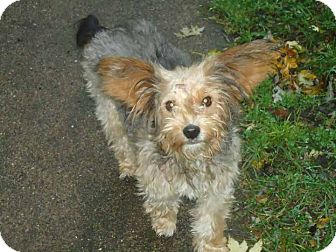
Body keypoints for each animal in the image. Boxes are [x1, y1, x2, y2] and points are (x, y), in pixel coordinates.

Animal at [77, 15, 280, 252]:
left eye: (207, 101)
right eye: (169, 105)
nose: (191, 130)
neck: (191, 157)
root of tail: (107, 30)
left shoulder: (218, 188)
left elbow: (210, 220)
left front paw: (211, 245)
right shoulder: (156, 176)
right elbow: (162, 201)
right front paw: (164, 223)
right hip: (108, 111)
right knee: (121, 142)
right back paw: (128, 165)